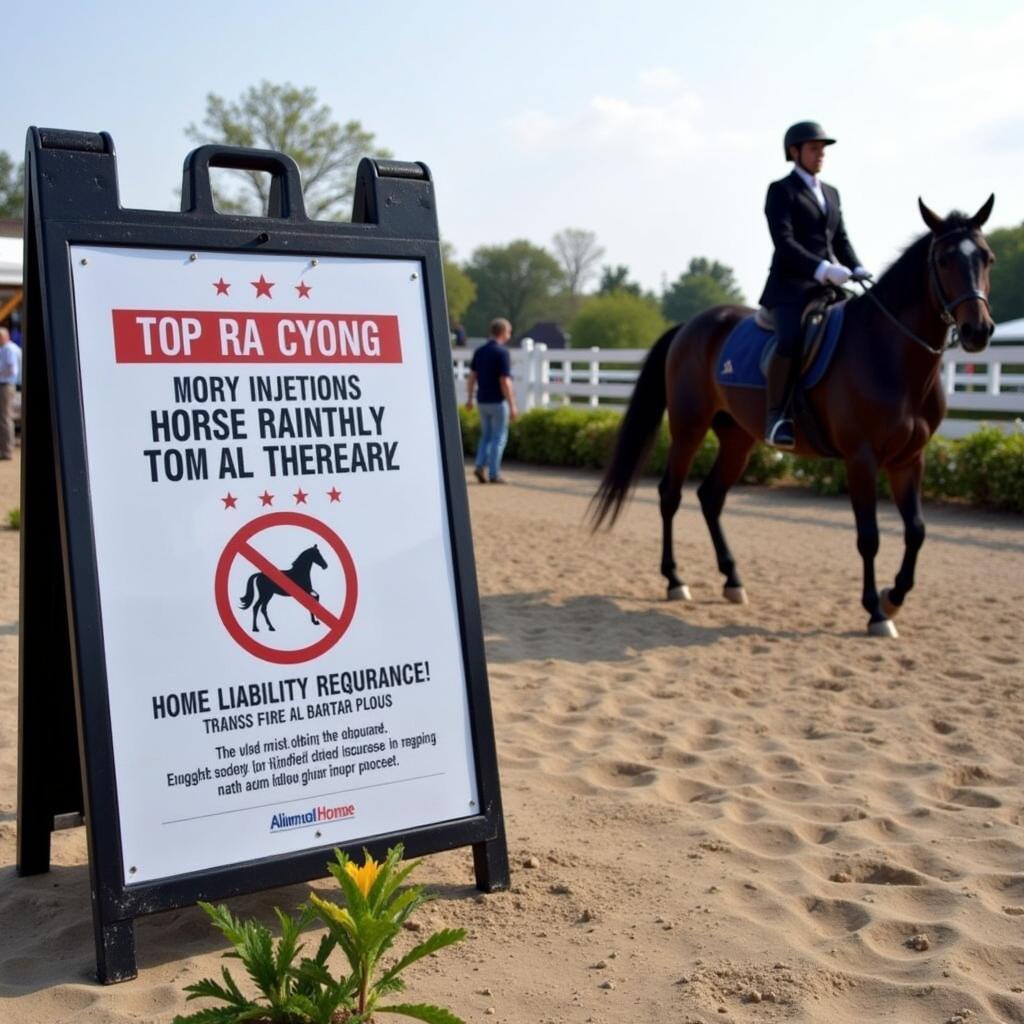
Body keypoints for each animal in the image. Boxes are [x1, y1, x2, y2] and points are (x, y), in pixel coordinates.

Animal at [598, 195, 995, 634]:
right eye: (943, 260)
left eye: (988, 258)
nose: (978, 331)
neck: (890, 353)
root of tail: (690, 325)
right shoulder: (861, 458)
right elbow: (869, 536)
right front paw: (875, 611)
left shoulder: (910, 459)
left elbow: (917, 531)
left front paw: (893, 599)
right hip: (689, 426)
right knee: (670, 494)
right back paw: (675, 579)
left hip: (738, 437)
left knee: (711, 497)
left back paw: (732, 580)